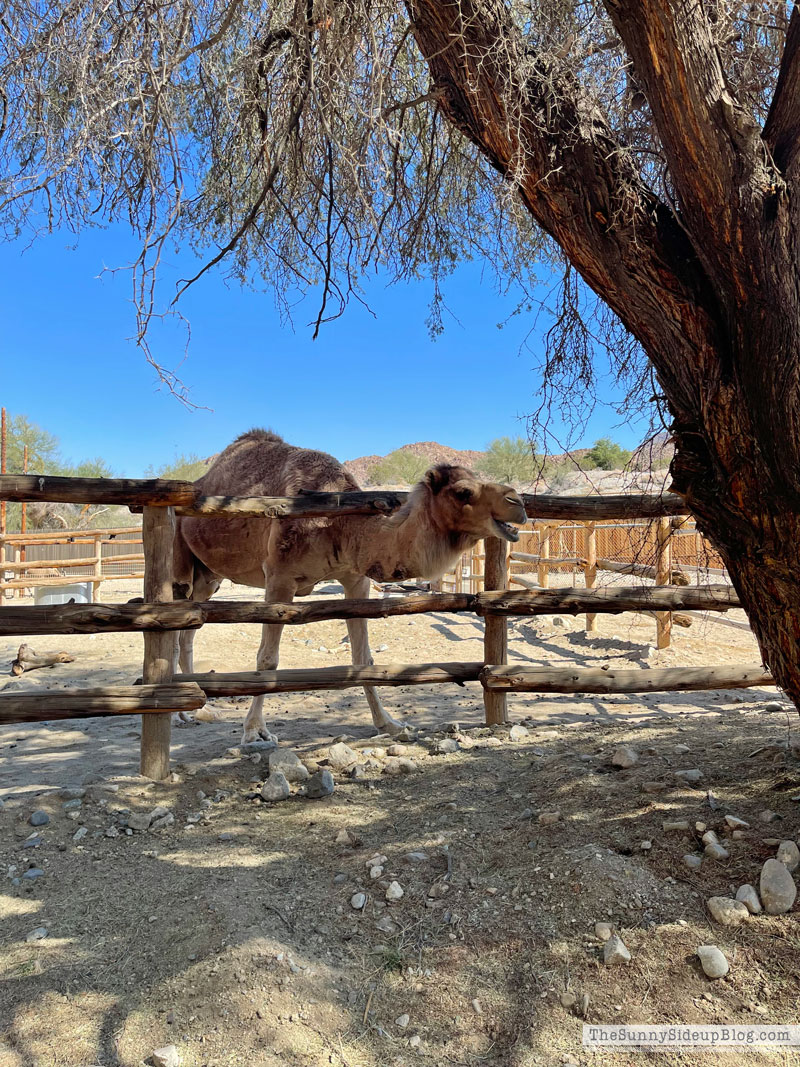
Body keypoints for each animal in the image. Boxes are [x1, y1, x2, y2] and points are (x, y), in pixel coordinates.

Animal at [172, 428, 529, 738]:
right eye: (463, 491)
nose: (518, 503)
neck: (338, 523)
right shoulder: (279, 577)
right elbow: (267, 658)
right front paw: (254, 731)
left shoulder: (355, 578)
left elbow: (363, 658)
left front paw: (389, 724)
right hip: (180, 560)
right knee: (176, 627)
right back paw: (181, 714)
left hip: (209, 576)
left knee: (189, 632)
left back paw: (197, 709)